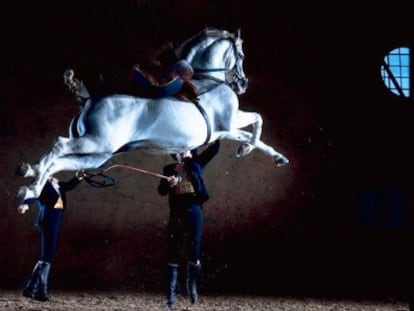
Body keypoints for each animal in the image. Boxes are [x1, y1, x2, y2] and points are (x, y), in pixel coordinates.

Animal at [15, 26, 288, 204]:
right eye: (241, 54)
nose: (243, 84)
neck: (206, 80)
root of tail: (89, 99)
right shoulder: (231, 121)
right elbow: (258, 120)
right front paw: (246, 149)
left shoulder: (223, 131)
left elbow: (253, 134)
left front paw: (275, 156)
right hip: (95, 142)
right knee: (58, 145)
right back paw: (31, 179)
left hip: (97, 155)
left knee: (59, 162)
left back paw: (30, 181)